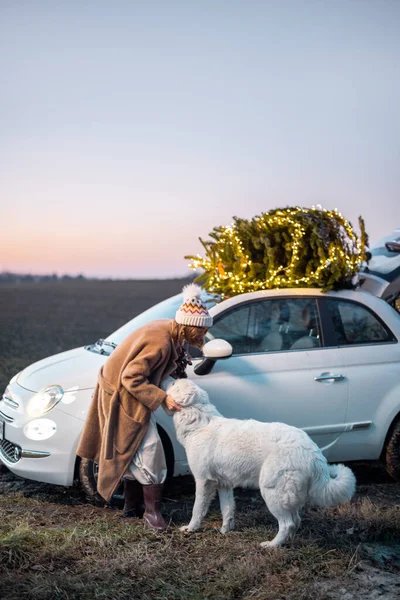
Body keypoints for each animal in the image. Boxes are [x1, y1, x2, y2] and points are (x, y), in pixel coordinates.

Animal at [166, 380, 356, 548]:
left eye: (174, 384)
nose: (169, 381)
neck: (199, 421)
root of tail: (314, 453)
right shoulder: (224, 484)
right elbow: (227, 509)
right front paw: (225, 530)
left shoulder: (204, 481)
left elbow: (197, 509)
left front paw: (190, 529)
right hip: (287, 496)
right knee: (295, 521)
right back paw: (287, 542)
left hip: (272, 492)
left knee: (287, 523)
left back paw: (272, 545)